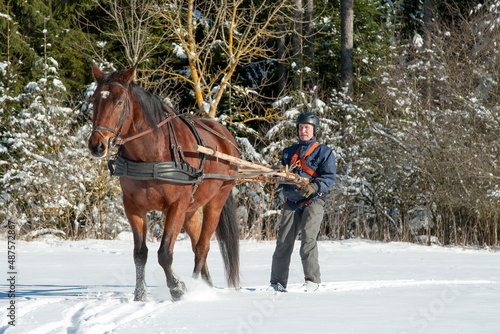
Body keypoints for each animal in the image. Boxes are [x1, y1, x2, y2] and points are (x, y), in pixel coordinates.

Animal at [87, 64, 240, 300]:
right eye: (95, 100)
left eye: (119, 102)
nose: (96, 145)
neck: (152, 155)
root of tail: (226, 137)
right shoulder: (133, 206)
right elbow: (140, 254)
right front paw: (139, 295)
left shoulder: (176, 205)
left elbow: (165, 253)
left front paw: (178, 288)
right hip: (191, 209)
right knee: (197, 245)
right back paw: (205, 285)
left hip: (216, 200)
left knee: (203, 247)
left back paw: (196, 286)